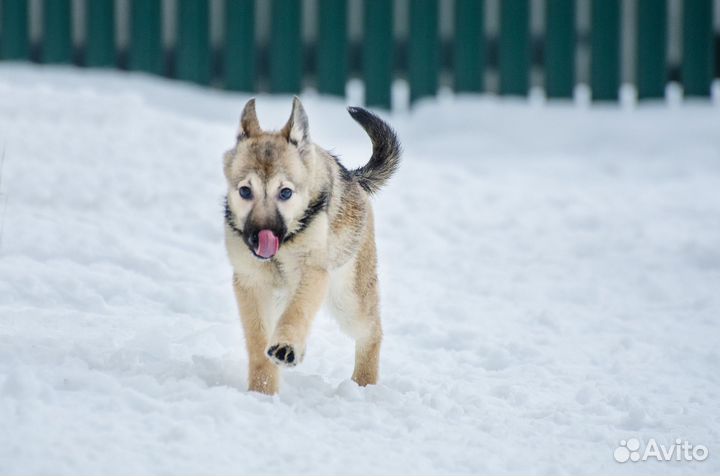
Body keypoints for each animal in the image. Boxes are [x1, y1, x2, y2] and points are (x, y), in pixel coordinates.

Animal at [222, 96, 402, 394]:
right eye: (245, 191)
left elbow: (297, 313)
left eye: (285, 192)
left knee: (372, 332)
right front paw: (262, 391)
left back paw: (363, 385)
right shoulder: (251, 283)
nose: (260, 237)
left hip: (348, 297)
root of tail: (354, 178)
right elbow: (258, 344)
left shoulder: (312, 272)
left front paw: (285, 347)